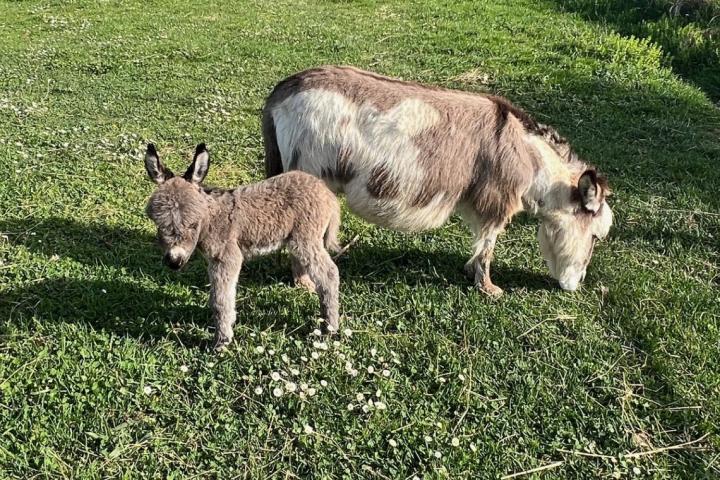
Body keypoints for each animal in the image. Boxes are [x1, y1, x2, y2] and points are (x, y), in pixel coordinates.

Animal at [146, 142, 344, 348]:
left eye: (193, 224)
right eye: (159, 224)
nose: (174, 262)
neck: (211, 219)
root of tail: (326, 192)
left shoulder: (226, 256)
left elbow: (220, 300)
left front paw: (222, 341)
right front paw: (229, 326)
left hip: (306, 238)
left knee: (329, 273)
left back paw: (330, 327)